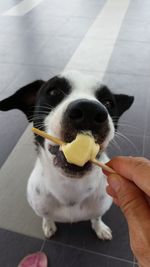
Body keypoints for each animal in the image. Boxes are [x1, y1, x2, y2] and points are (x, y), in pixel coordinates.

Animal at [0, 71, 134, 241]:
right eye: (53, 92)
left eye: (108, 103)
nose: (89, 110)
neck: (71, 187)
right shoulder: (41, 206)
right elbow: (47, 216)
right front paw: (48, 225)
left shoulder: (99, 208)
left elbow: (96, 217)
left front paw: (100, 228)